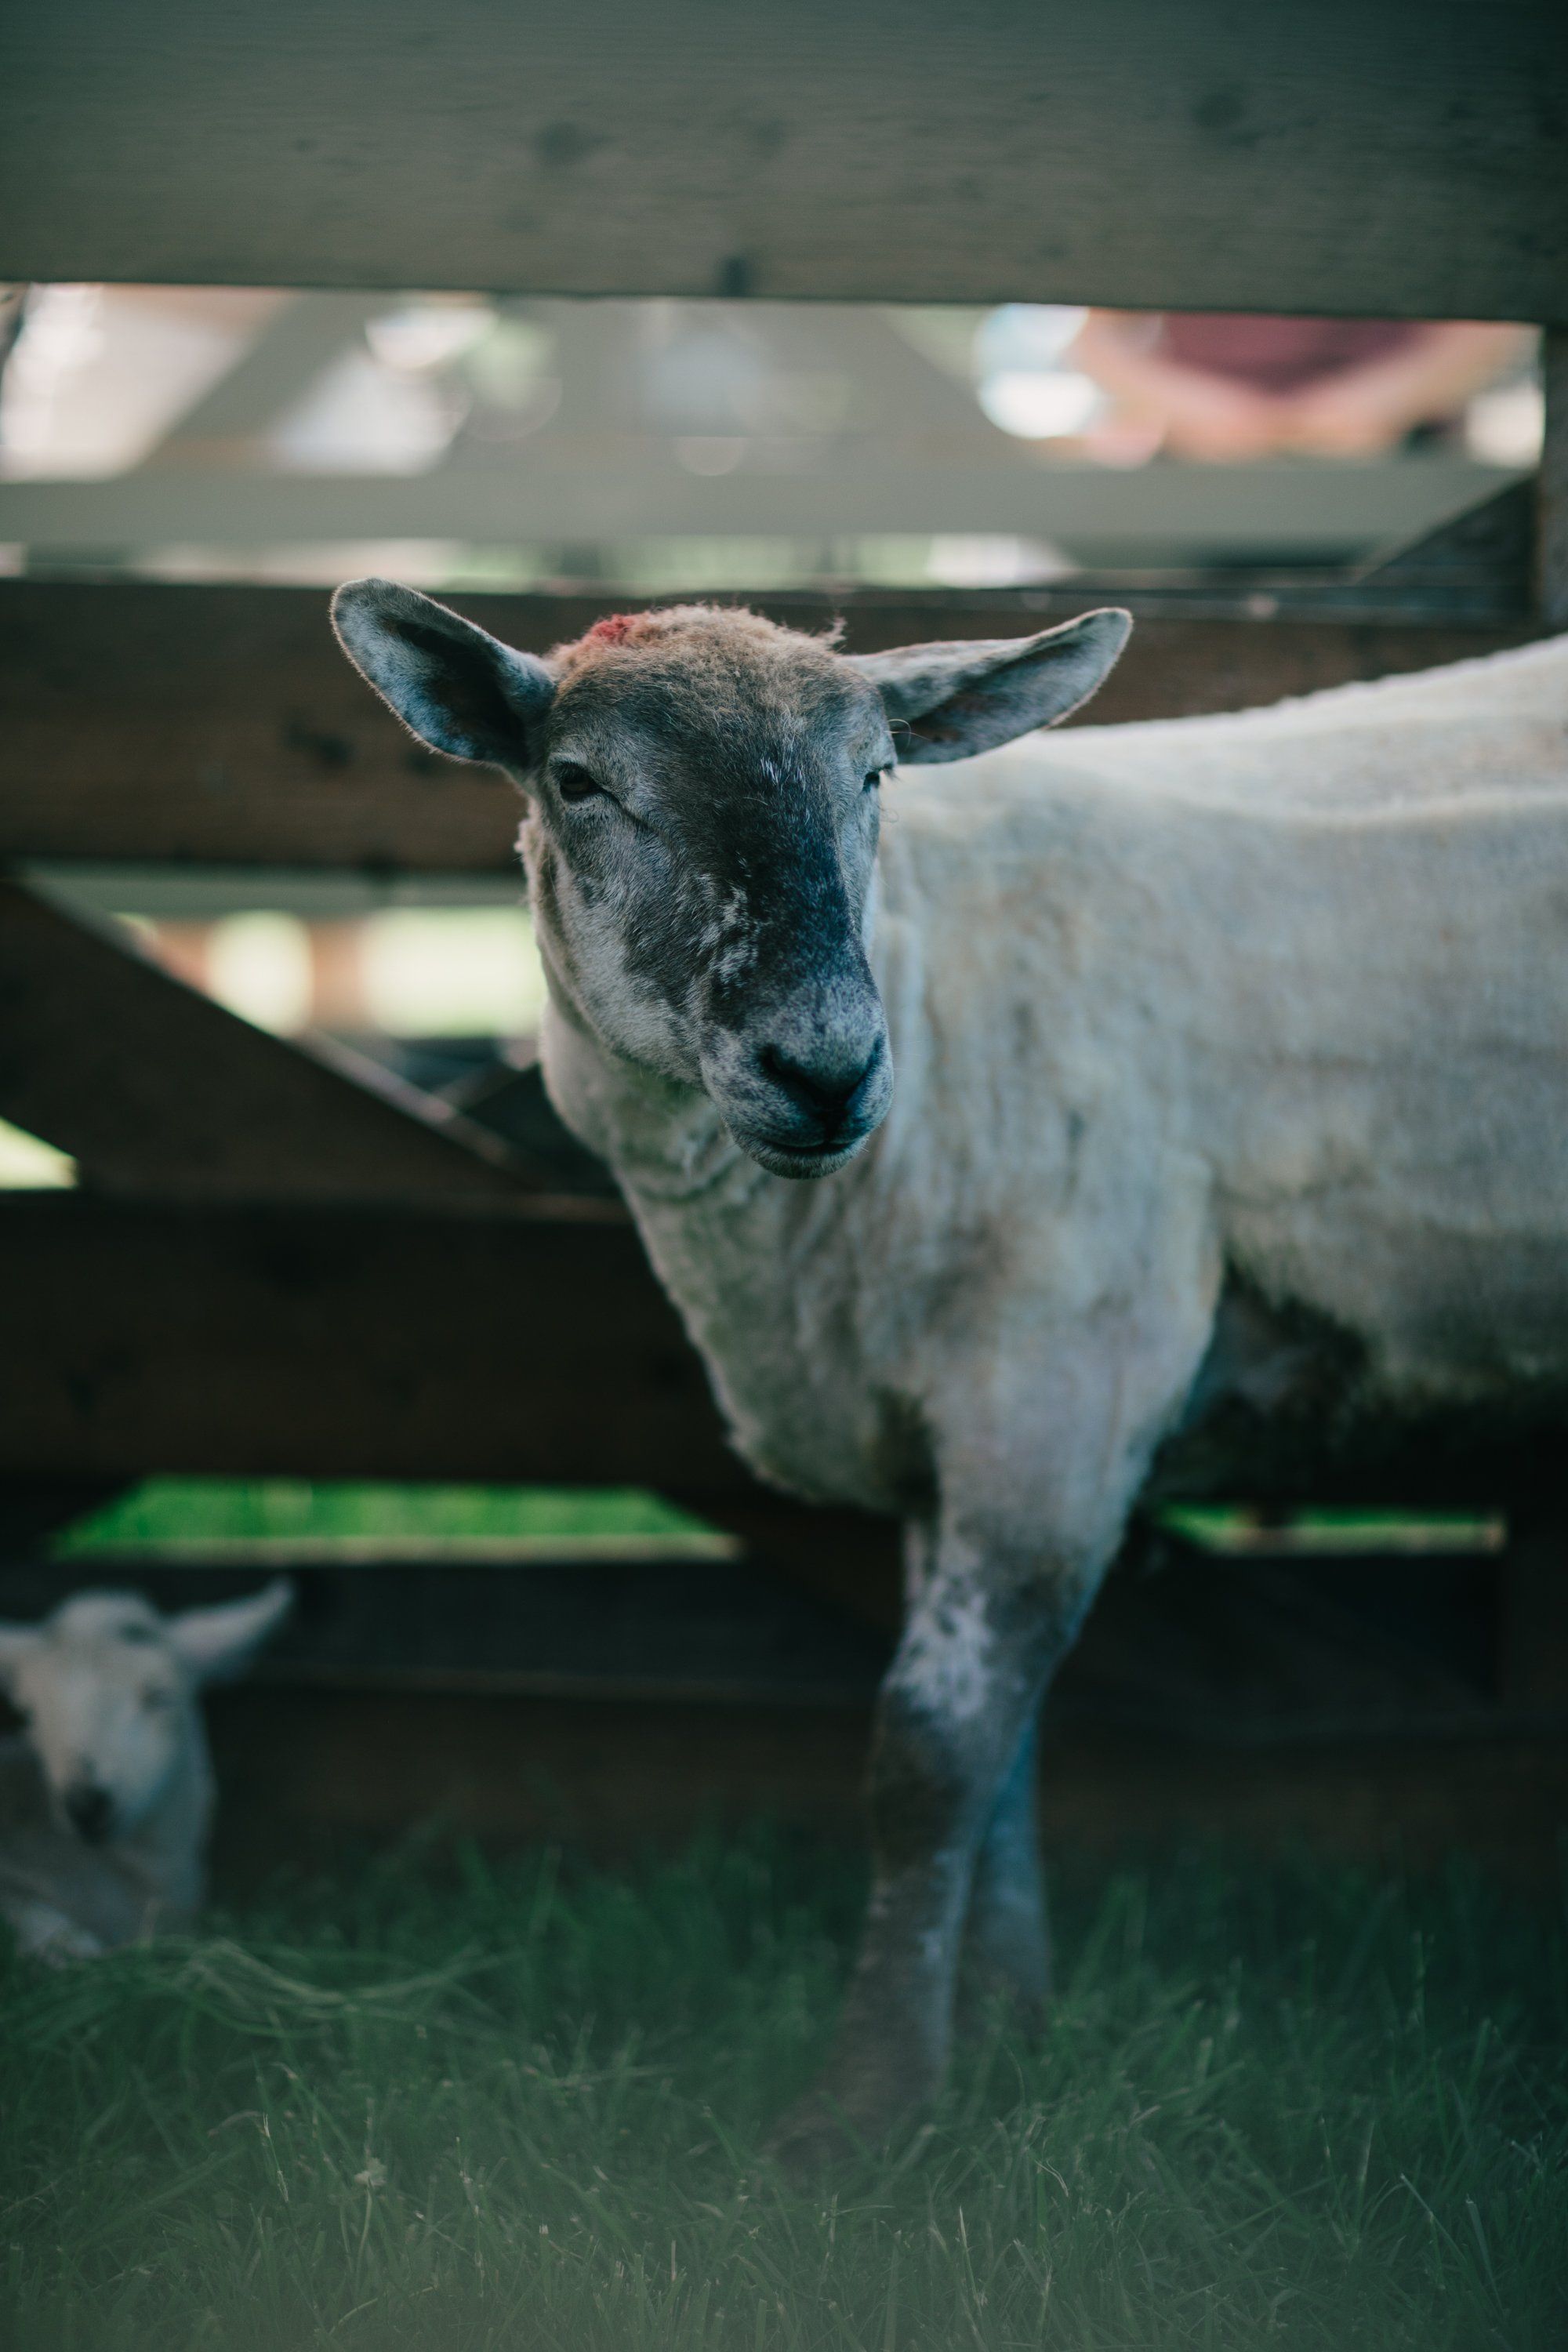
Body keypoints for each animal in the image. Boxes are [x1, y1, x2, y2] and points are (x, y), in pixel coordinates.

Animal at [332, 583, 1568, 2162]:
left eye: (874, 776)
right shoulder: (938, 1428)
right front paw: (1007, 2034)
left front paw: (864, 2108)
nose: (823, 1068)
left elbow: (929, 1758)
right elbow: (1005, 1759)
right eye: (578, 781)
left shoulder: (1057, 1378)